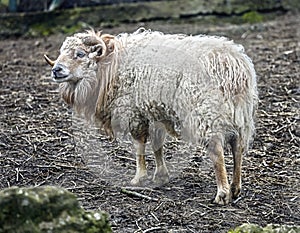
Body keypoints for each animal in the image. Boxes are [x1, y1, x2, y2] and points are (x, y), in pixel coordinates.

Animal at [44, 28, 258, 204]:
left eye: (80, 54)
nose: (56, 70)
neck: (111, 67)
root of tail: (233, 66)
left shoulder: (134, 112)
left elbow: (139, 146)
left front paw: (139, 177)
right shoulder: (154, 112)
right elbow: (157, 145)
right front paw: (161, 174)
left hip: (206, 113)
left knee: (217, 152)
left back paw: (222, 193)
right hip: (240, 116)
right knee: (237, 148)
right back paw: (236, 188)